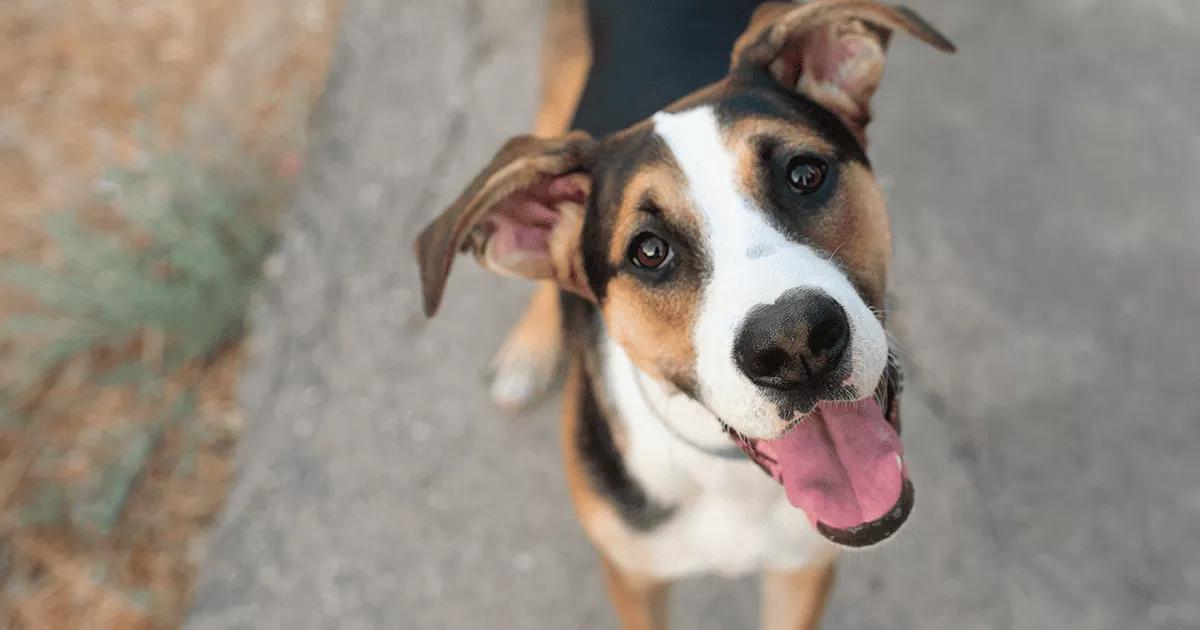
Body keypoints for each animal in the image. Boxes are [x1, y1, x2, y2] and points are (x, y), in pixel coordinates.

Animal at [417, 2, 950, 624]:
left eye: (804, 174)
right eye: (649, 251)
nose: (794, 344)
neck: (729, 475)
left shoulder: (803, 570)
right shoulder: (633, 575)